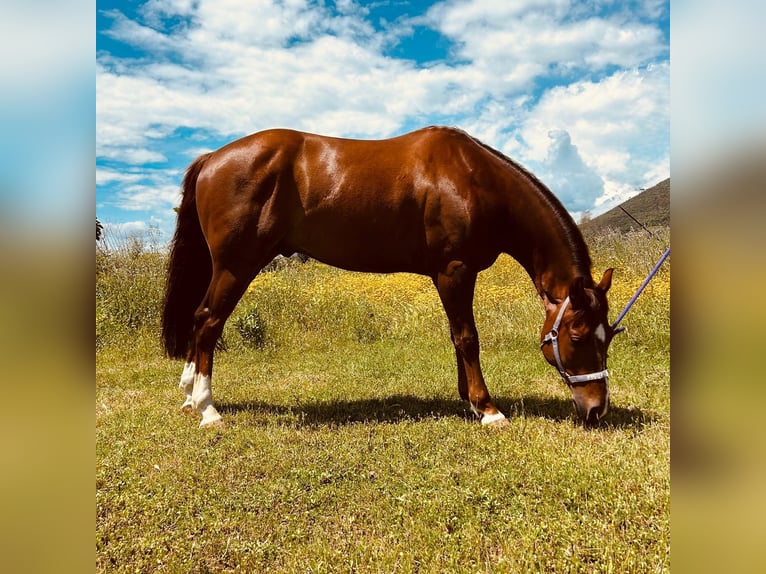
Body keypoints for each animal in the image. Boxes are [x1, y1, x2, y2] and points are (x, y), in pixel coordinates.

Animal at [162, 126, 615, 429]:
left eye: (608, 336)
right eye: (576, 336)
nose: (597, 409)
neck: (472, 177)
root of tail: (213, 157)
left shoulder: (448, 276)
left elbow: (457, 338)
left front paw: (468, 402)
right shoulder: (455, 271)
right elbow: (468, 338)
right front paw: (488, 410)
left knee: (199, 319)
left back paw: (188, 393)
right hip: (236, 266)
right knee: (208, 321)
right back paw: (207, 408)